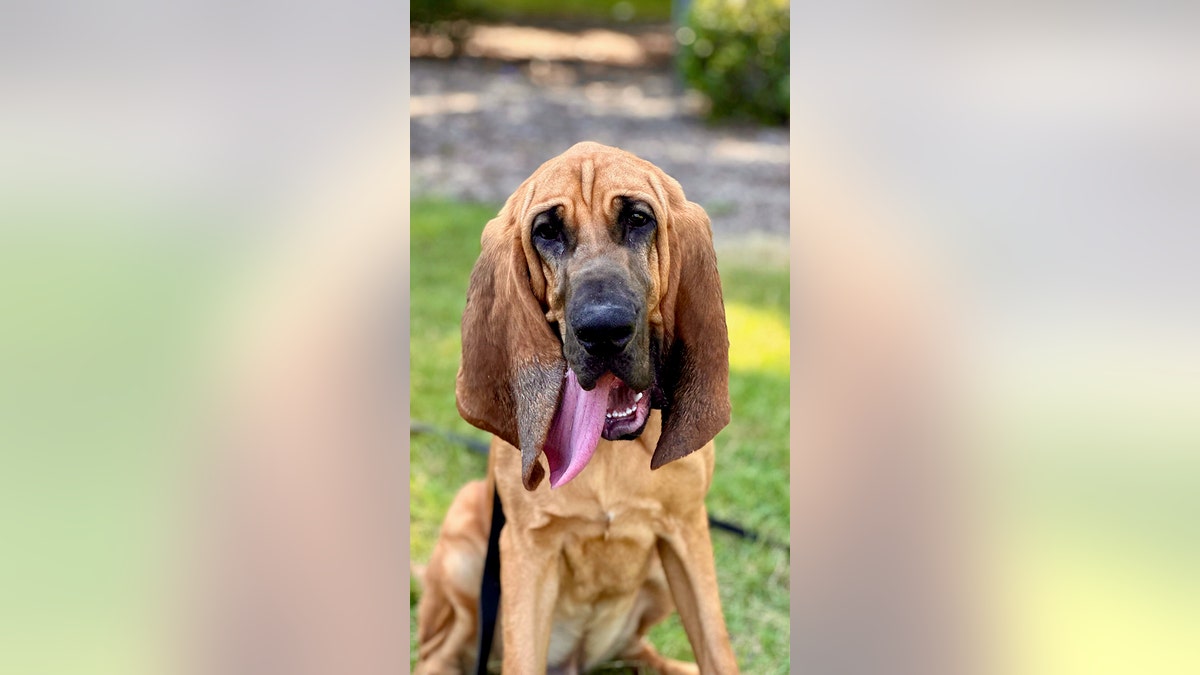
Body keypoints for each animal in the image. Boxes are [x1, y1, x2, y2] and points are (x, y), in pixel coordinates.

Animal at [422, 142, 739, 672]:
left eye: (638, 219)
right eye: (547, 231)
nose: (603, 330)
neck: (610, 452)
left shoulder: (688, 532)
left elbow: (717, 649)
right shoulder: (526, 549)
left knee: (637, 648)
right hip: (467, 540)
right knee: (441, 651)